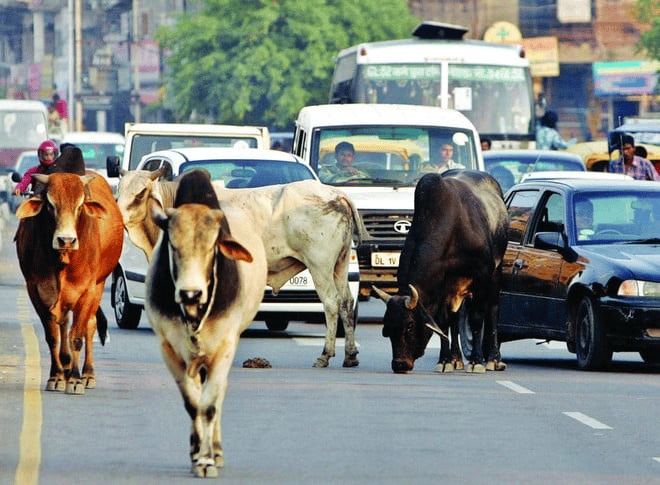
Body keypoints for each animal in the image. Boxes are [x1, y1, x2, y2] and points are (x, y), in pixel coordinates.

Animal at [14, 171, 122, 394]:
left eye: (80, 205)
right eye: (50, 204)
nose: (66, 240)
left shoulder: (87, 291)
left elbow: (77, 337)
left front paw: (74, 379)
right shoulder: (35, 290)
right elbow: (53, 336)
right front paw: (56, 376)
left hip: (99, 285)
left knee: (90, 325)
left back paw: (87, 374)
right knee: (63, 323)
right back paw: (64, 366)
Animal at [116, 170, 358, 366]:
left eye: (140, 193)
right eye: (119, 190)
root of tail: (336, 194)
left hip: (320, 266)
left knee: (331, 304)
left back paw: (325, 355)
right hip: (340, 264)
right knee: (346, 302)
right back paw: (350, 355)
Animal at [374, 170, 508, 374]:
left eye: (410, 325)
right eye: (387, 327)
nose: (399, 364)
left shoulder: (481, 276)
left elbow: (477, 319)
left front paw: (476, 361)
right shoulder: (442, 288)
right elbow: (443, 323)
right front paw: (445, 360)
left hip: (495, 273)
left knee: (493, 310)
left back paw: (494, 359)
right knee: (454, 319)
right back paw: (456, 359)